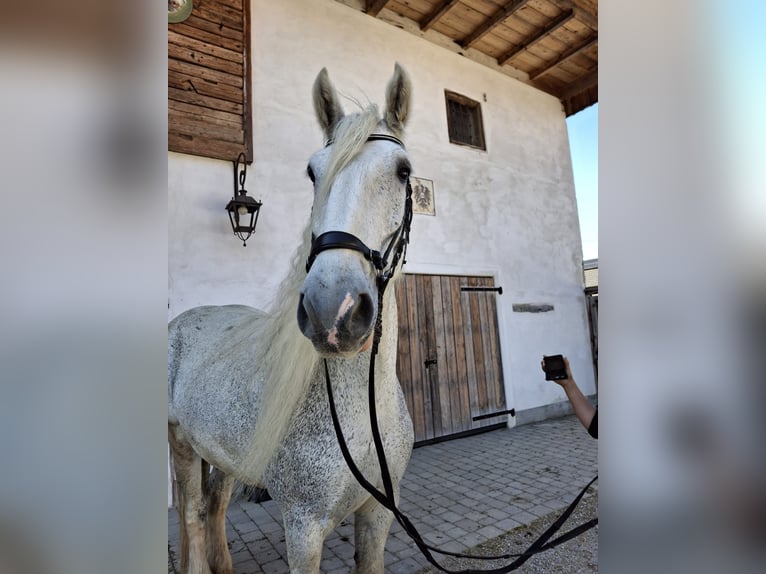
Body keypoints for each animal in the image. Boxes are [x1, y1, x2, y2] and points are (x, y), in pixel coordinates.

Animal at [168, 63, 415, 574]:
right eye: (312, 172)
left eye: (403, 172)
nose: (334, 310)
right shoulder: (303, 529)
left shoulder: (379, 514)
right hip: (180, 440)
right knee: (193, 513)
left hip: (221, 455)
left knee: (214, 505)